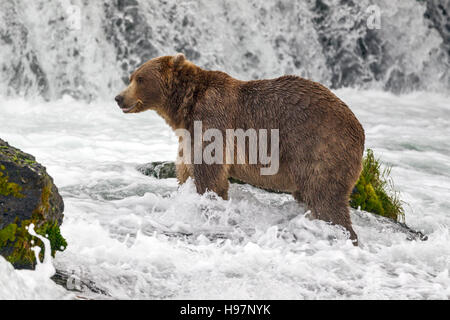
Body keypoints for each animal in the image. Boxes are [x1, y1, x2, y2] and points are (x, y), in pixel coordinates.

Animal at [115, 53, 366, 244]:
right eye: (132, 77)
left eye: (140, 78)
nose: (119, 97)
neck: (184, 108)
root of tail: (359, 128)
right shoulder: (188, 137)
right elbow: (186, 172)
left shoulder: (212, 122)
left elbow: (210, 176)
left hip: (319, 147)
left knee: (326, 199)